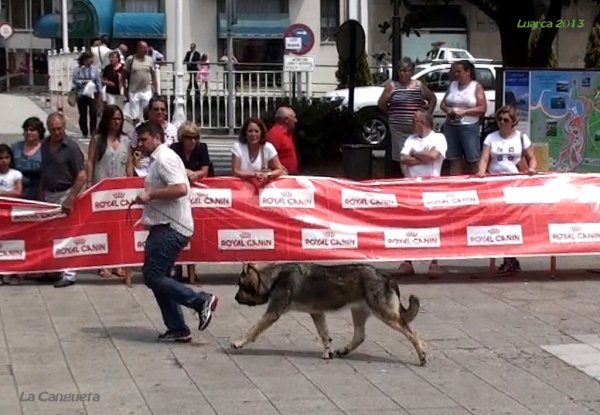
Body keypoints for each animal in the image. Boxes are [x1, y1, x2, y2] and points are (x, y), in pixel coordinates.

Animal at [231, 264, 426, 366]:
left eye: (241, 286)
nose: (235, 298)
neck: (275, 276)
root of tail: (386, 276)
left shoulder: (273, 312)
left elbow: (253, 329)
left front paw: (239, 342)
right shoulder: (317, 313)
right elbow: (325, 335)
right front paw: (328, 352)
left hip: (385, 314)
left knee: (412, 333)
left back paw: (422, 356)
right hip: (358, 311)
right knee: (360, 335)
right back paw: (344, 350)